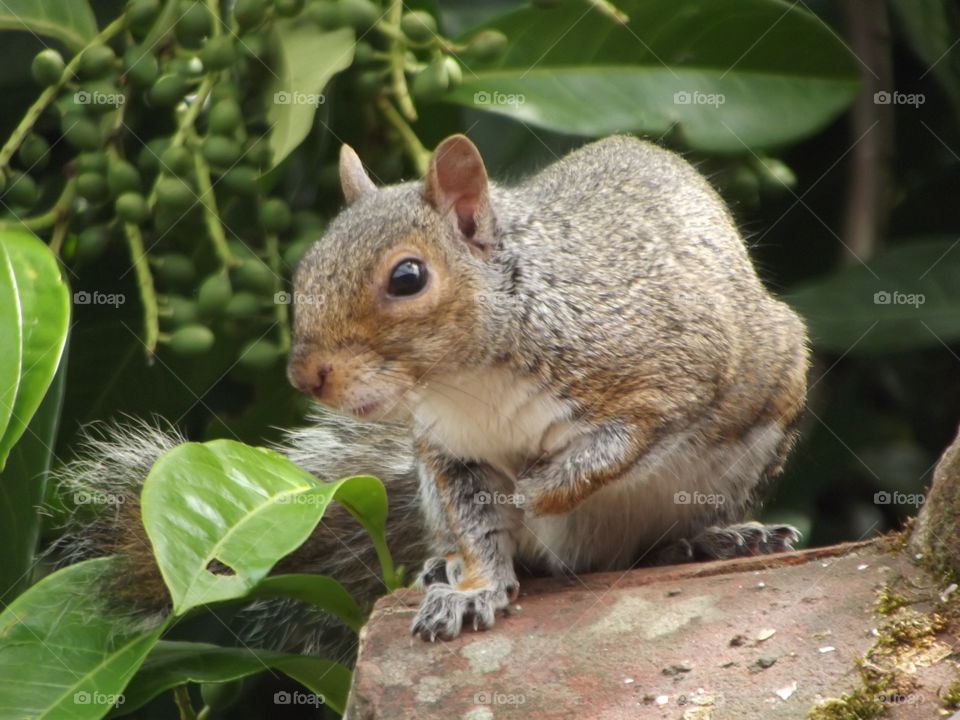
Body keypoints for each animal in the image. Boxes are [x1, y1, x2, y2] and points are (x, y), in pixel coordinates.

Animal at [58, 134, 808, 648]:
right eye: (306, 268)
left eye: (408, 277)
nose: (307, 374)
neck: (470, 377)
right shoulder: (448, 450)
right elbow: (478, 527)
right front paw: (474, 587)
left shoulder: (667, 376)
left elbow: (603, 455)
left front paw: (535, 490)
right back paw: (443, 568)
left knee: (661, 542)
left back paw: (719, 538)